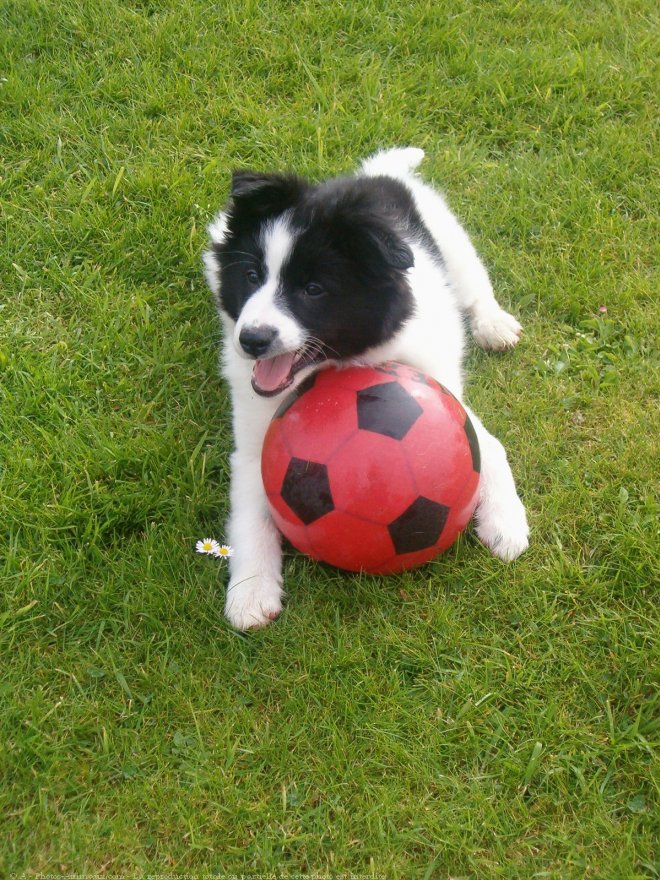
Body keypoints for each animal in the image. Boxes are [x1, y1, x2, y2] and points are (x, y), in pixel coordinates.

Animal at [204, 150, 528, 632]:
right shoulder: (252, 442)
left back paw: (493, 324)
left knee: (476, 286)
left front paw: (506, 524)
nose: (252, 340)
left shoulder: (446, 398)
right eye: (251, 275)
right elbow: (250, 515)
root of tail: (376, 173)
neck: (337, 364)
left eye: (314, 290)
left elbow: (491, 447)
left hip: (452, 240)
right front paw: (251, 593)